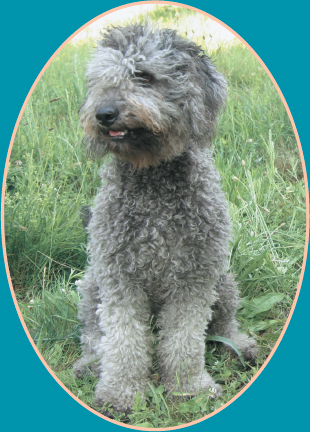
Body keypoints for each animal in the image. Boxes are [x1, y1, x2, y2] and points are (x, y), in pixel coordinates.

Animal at [74, 22, 258, 412]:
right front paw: (121, 392)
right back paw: (90, 364)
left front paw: (189, 388)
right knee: (93, 336)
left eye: (143, 76)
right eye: (101, 80)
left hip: (223, 281)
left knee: (223, 325)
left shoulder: (193, 278)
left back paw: (239, 344)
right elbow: (123, 341)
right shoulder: (119, 279)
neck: (153, 180)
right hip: (91, 285)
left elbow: (185, 340)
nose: (103, 113)